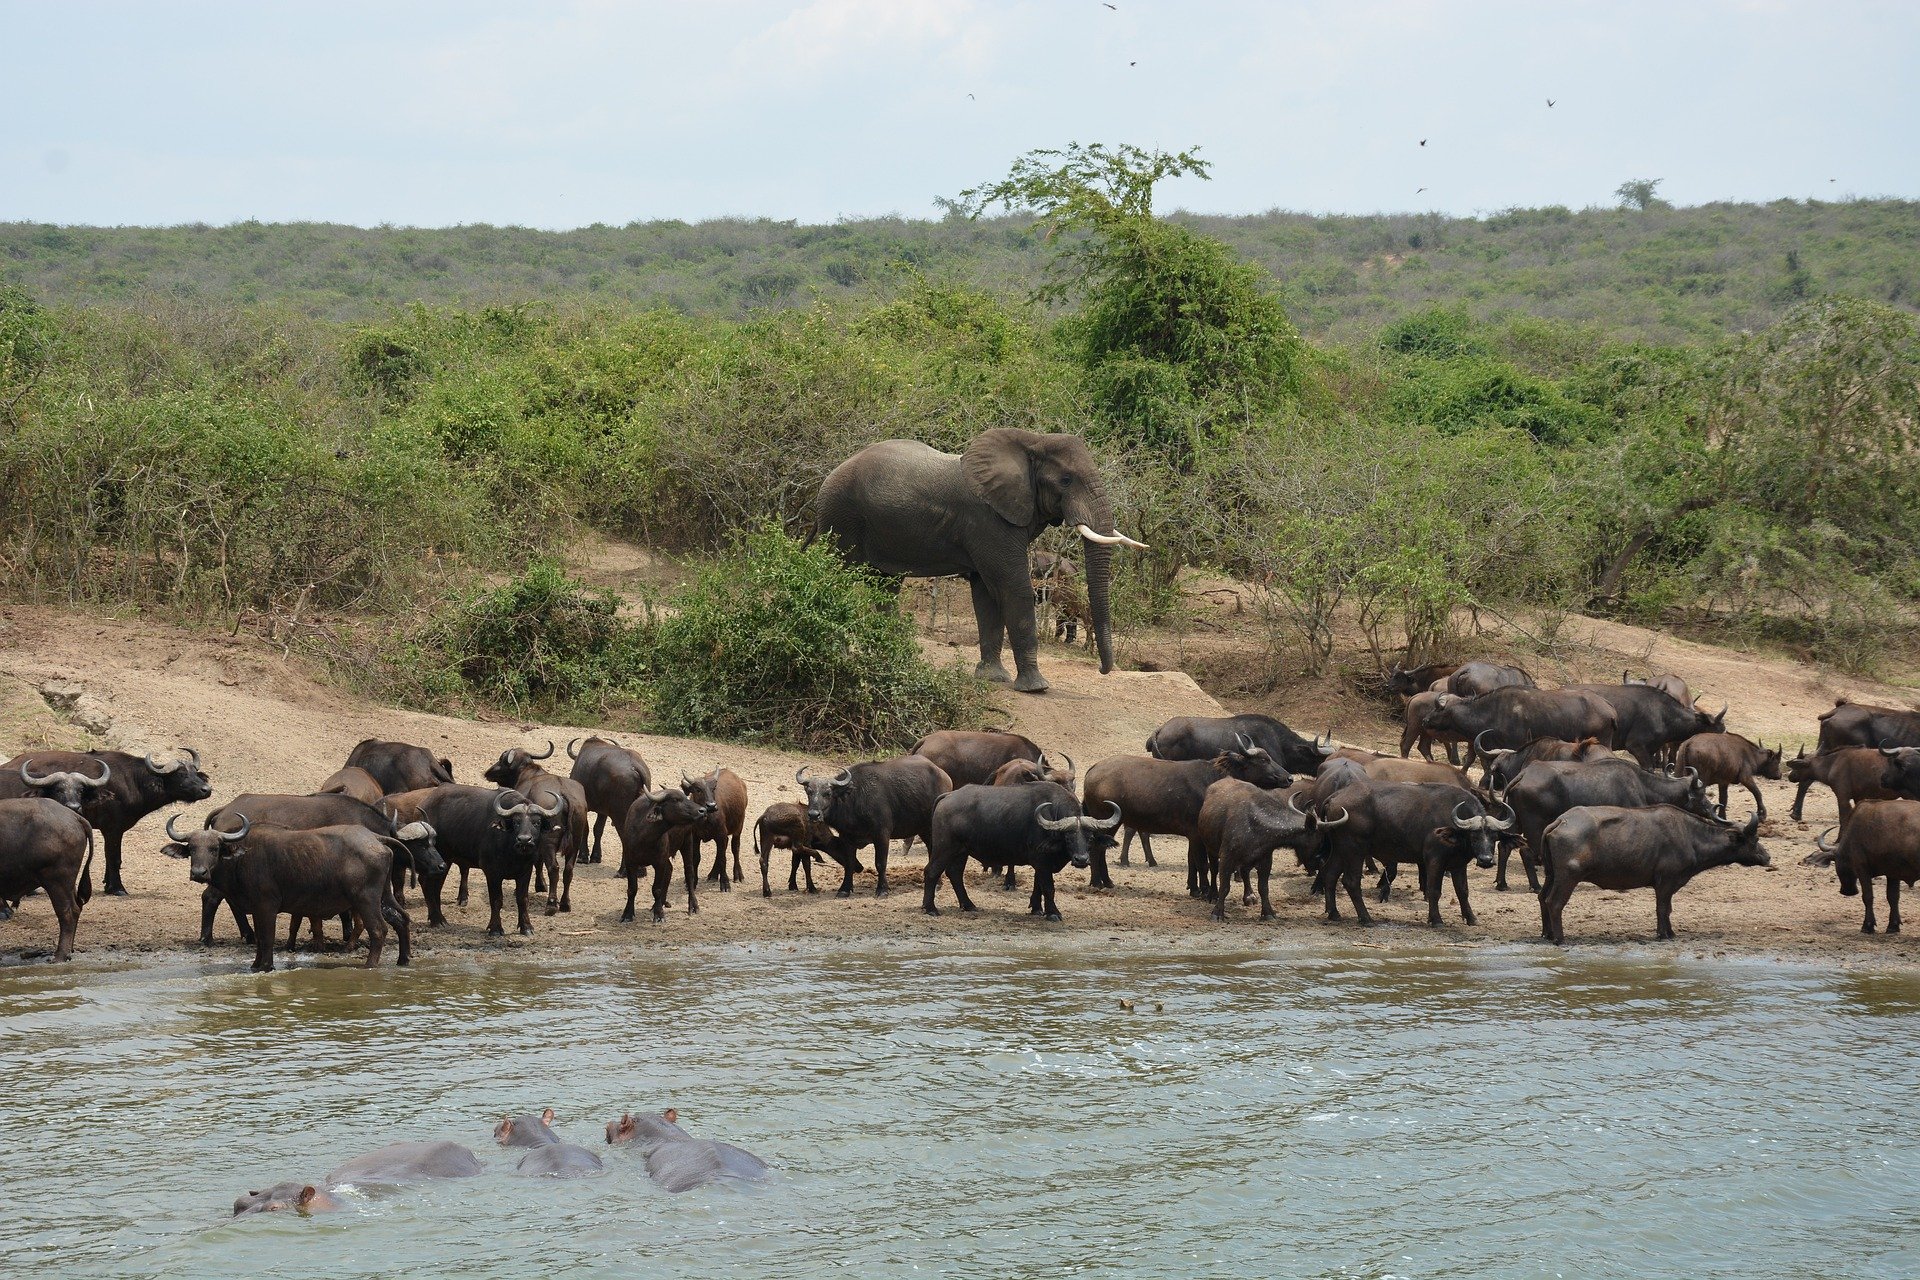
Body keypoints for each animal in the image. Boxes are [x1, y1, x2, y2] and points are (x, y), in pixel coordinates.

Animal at [813, 429, 1146, 693]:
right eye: (1066, 480)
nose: (1103, 670)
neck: (1032, 441)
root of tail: (826, 479)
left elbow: (986, 596)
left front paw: (992, 678)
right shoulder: (990, 521)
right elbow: (1013, 588)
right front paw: (1036, 688)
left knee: (886, 586)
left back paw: (892, 655)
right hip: (841, 518)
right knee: (836, 576)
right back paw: (842, 654)